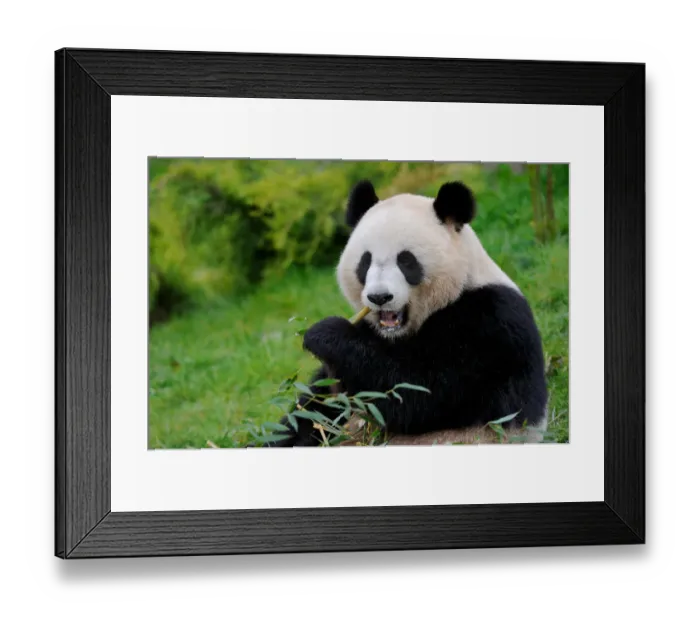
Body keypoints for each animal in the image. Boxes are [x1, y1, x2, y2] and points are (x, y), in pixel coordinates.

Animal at [266, 179, 548, 447]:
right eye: (365, 261)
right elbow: (315, 408)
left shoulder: (489, 325)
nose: (379, 297)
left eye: (406, 260)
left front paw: (325, 334)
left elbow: (417, 392)